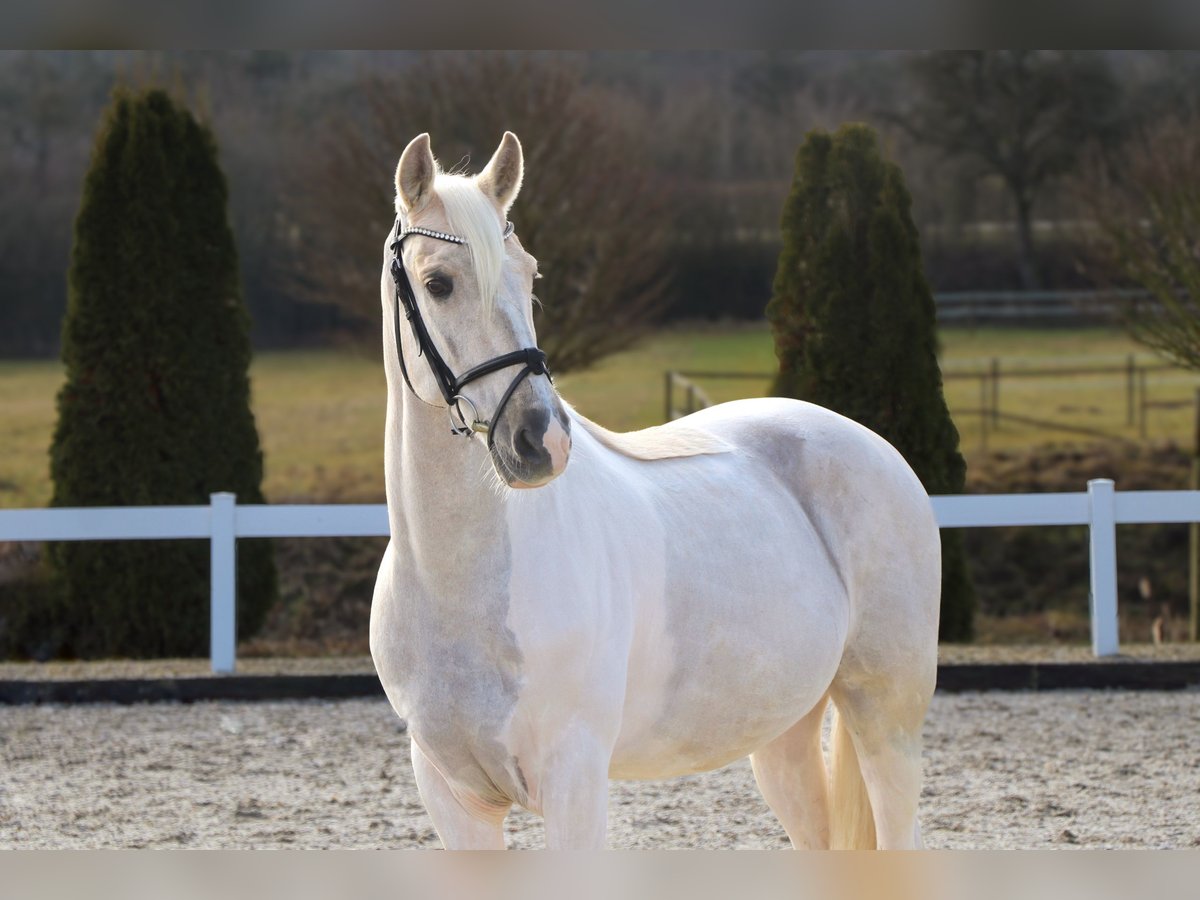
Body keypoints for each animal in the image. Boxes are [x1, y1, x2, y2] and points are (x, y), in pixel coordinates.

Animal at [369, 130, 940, 849]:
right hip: (783, 734)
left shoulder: (574, 780)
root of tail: (877, 449)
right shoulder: (454, 800)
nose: (541, 440)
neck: (456, 587)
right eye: (437, 283)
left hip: (887, 717)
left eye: (529, 276)